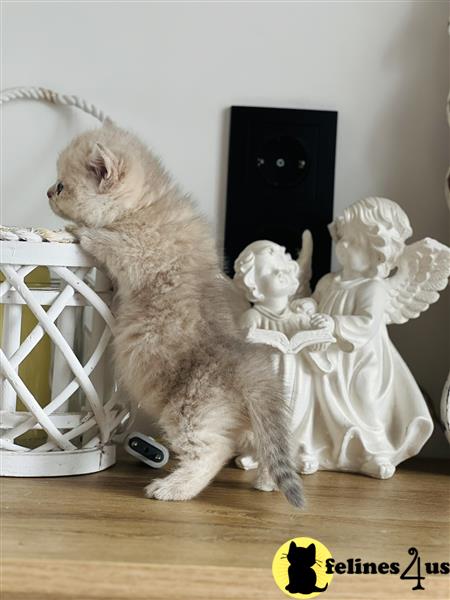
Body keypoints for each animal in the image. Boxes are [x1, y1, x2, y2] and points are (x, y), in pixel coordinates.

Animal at [47, 122, 304, 506]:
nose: (48, 192)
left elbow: (107, 240)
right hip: (244, 420)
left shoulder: (137, 251)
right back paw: (267, 481)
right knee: (268, 445)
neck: (147, 204)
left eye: (62, 185)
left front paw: (81, 232)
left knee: (214, 451)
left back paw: (173, 488)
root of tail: (245, 364)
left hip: (189, 411)